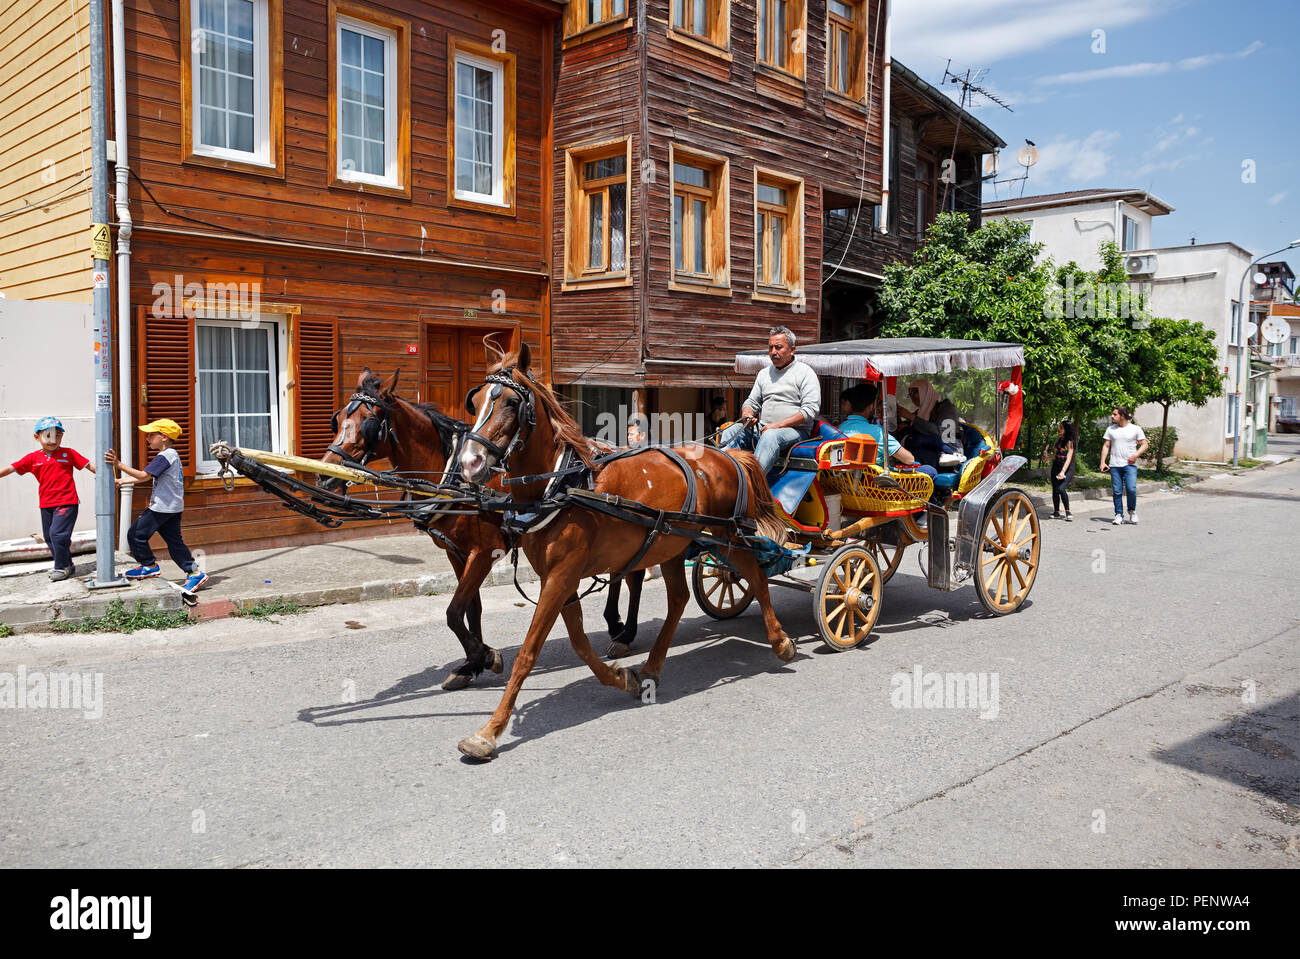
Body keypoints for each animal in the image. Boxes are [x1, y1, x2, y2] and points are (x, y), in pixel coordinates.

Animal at [314, 366, 639, 686]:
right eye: (338, 420)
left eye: (368, 423)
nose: (325, 477)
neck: (452, 475)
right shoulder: (455, 551)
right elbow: (471, 608)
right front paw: (471, 664)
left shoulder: (485, 552)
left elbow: (454, 611)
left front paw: (485, 656)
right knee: (622, 571)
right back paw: (616, 624)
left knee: (632, 577)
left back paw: (626, 633)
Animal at [452, 345, 790, 764]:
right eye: (477, 400)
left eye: (513, 403)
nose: (470, 463)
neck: (561, 483)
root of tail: (727, 456)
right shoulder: (559, 576)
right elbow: (580, 644)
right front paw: (621, 677)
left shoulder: (561, 574)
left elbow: (529, 652)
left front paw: (489, 731)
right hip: (672, 543)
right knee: (679, 598)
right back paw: (651, 668)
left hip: (727, 535)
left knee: (755, 577)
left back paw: (781, 641)